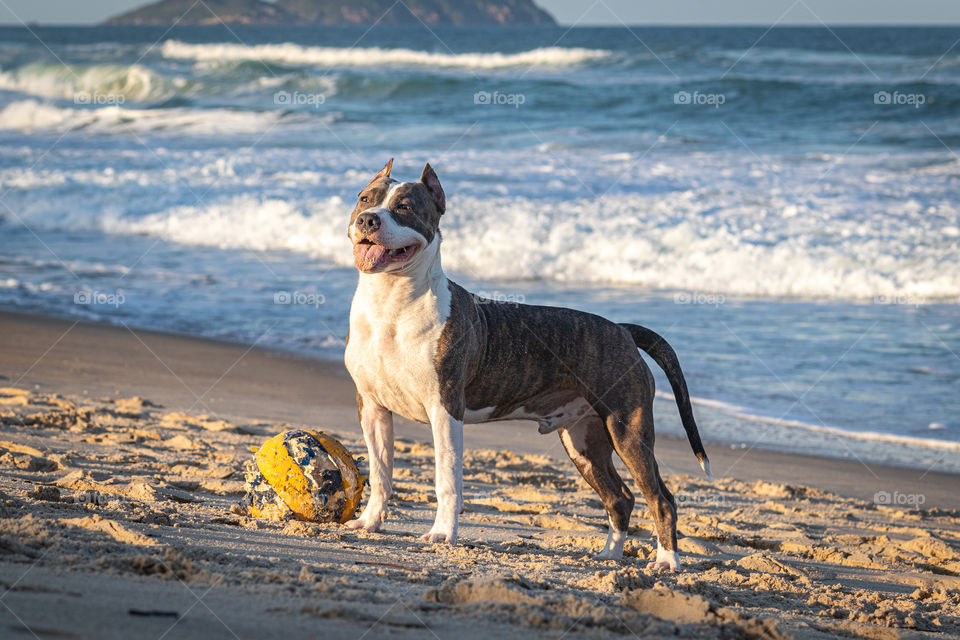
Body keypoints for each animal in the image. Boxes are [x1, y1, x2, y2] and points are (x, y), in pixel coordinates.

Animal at [342, 159, 708, 568]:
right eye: (365, 199)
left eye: (404, 207)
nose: (369, 219)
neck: (390, 303)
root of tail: (622, 330)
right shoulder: (372, 408)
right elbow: (380, 472)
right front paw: (369, 522)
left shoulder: (445, 410)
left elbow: (447, 479)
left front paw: (442, 534)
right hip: (583, 441)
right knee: (620, 497)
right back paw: (609, 555)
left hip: (628, 429)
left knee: (661, 498)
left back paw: (667, 562)